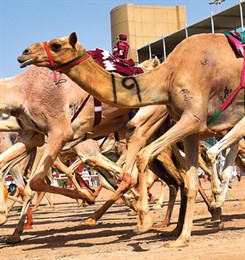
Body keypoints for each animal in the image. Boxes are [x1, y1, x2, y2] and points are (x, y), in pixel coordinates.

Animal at [16, 32, 243, 246]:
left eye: (56, 45)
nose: (24, 53)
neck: (167, 77)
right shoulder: (190, 126)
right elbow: (190, 182)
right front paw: (182, 238)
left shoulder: (194, 118)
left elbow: (142, 158)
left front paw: (144, 220)